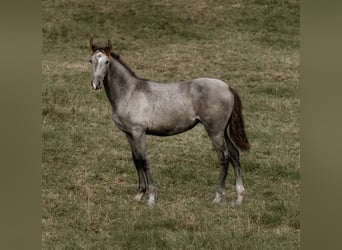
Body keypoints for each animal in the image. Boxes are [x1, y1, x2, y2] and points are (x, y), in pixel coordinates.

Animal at [88, 38, 250, 207]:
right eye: (91, 60)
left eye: (106, 61)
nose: (95, 84)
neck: (130, 92)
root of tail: (227, 87)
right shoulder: (129, 134)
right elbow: (136, 160)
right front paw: (139, 194)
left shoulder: (139, 133)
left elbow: (144, 160)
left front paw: (151, 198)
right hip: (222, 132)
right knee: (234, 154)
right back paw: (239, 197)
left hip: (215, 132)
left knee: (224, 158)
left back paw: (218, 197)